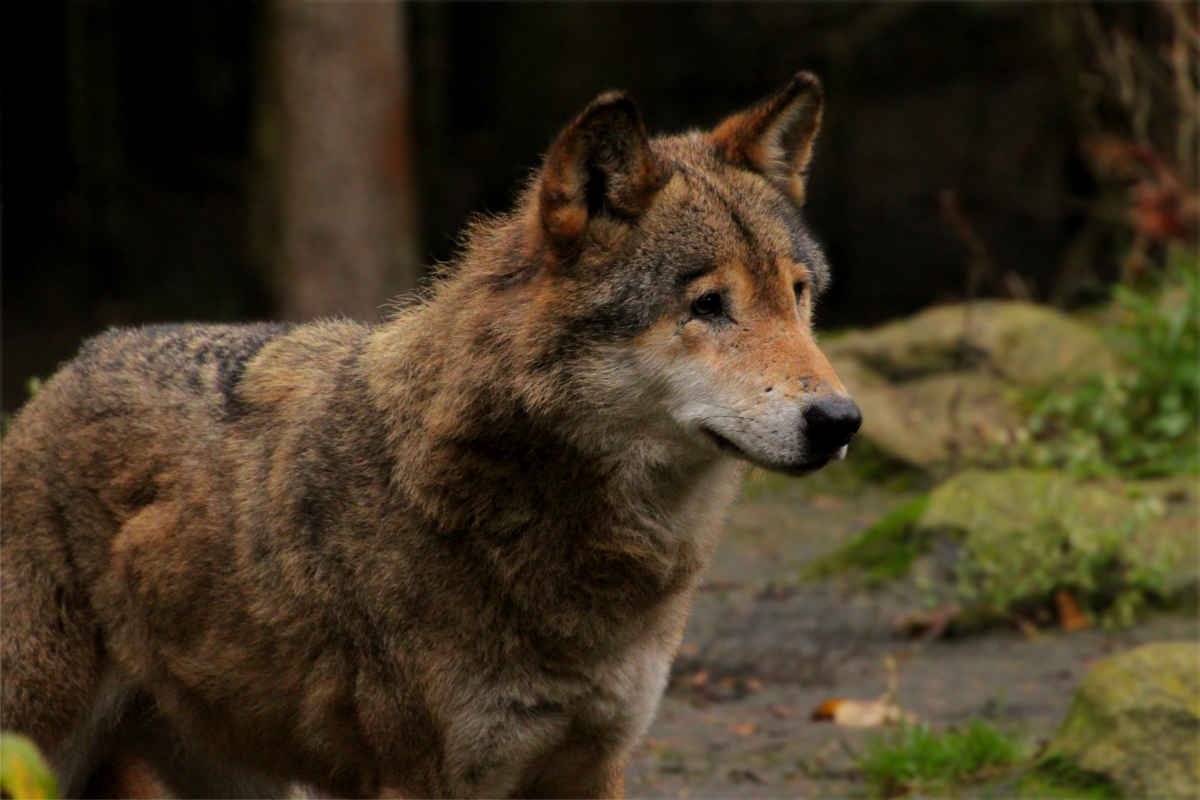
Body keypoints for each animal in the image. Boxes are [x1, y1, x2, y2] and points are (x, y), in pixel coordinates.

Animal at [1, 72, 860, 799]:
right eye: (708, 305)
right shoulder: (426, 777)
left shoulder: (596, 765)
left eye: (798, 294)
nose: (841, 420)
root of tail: (55, 380)